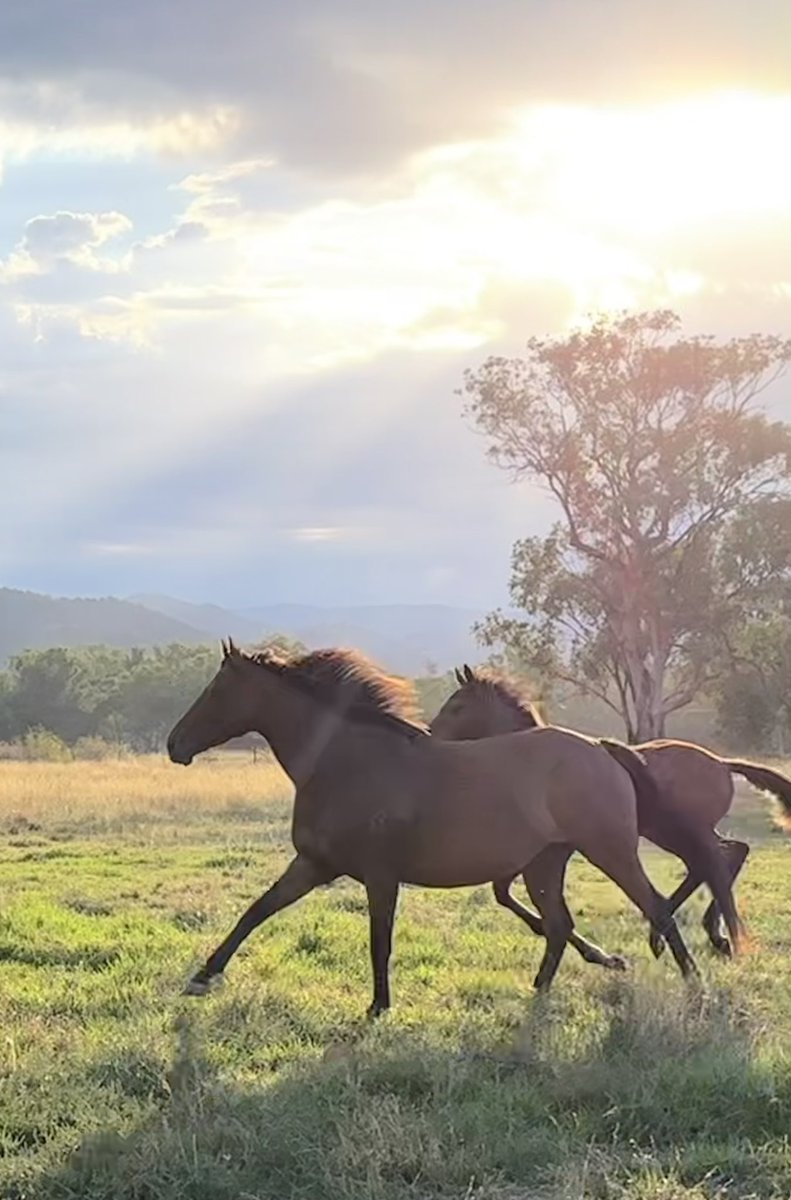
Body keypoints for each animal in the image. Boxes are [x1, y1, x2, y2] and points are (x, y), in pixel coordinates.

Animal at [166, 643, 734, 1017]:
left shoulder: (379, 875)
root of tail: (601, 748)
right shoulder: (313, 864)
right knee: (558, 925)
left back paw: (696, 986)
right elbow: (256, 910)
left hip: (609, 850)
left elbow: (379, 940)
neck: (344, 761)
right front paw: (202, 976)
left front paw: (378, 1007)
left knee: (655, 907)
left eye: (217, 689)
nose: (175, 744)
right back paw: (538, 994)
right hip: (546, 863)